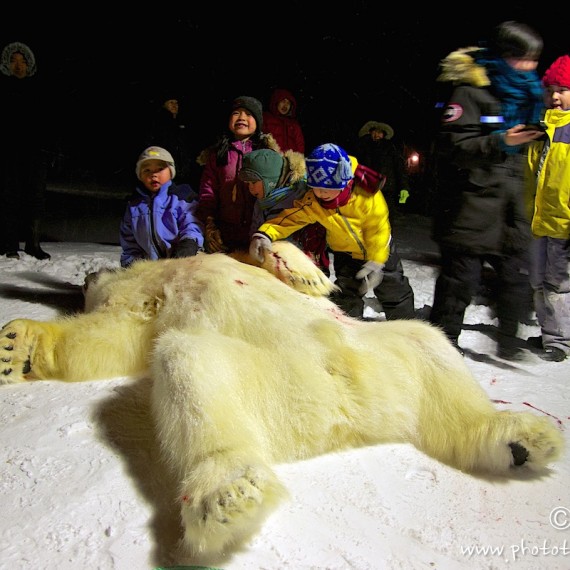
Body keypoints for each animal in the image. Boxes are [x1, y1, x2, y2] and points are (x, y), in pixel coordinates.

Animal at [0, 240, 560, 556]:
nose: (88, 273)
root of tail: (350, 417)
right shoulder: (136, 304)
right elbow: (111, 339)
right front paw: (16, 348)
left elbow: (284, 268)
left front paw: (294, 263)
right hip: (278, 382)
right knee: (188, 361)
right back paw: (226, 494)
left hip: (385, 357)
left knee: (431, 346)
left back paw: (520, 438)